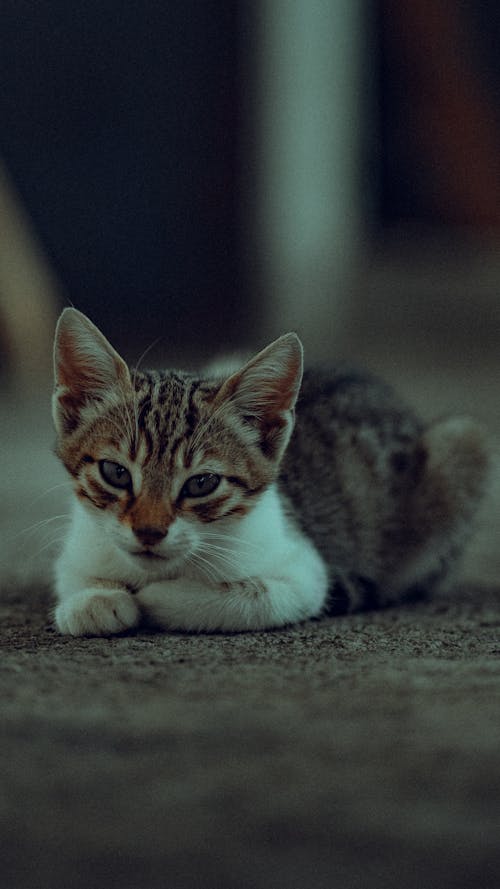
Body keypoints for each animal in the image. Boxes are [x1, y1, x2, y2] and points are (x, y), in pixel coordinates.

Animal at [52, 308, 490, 636]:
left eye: (202, 483)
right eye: (115, 472)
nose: (148, 531)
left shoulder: (305, 570)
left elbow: (252, 597)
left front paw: (157, 597)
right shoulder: (82, 545)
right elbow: (74, 575)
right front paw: (94, 600)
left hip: (466, 443)